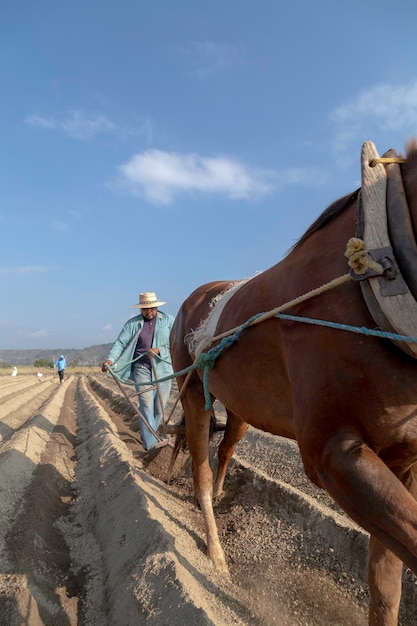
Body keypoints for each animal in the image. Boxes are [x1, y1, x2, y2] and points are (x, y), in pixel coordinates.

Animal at [168, 139, 416, 620]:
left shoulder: (403, 457)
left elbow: (386, 586)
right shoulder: (330, 451)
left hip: (241, 408)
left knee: (224, 451)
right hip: (193, 397)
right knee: (199, 466)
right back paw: (215, 555)